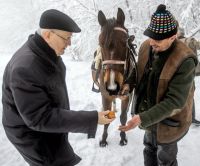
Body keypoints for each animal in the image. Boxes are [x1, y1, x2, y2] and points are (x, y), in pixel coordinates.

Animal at [92, 8, 138, 147]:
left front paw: (123, 137)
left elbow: (123, 117)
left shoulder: (126, 96)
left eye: (125, 42)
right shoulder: (105, 95)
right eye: (100, 43)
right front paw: (103, 139)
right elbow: (106, 118)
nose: (112, 85)